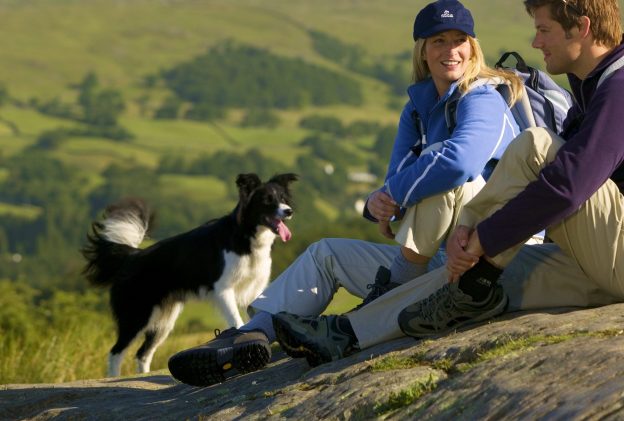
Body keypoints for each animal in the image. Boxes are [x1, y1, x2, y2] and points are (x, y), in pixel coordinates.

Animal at [81, 172, 296, 376]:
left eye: (283, 198)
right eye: (267, 200)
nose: (289, 211)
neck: (246, 235)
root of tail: (132, 256)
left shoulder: (255, 289)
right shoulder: (223, 290)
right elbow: (237, 320)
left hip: (164, 321)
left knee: (142, 353)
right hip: (137, 315)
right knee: (116, 351)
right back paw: (113, 378)